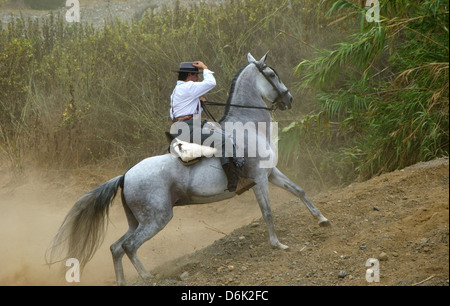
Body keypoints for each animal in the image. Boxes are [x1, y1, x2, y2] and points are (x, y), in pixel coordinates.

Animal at [47, 52, 330, 284]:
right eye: (271, 75)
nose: (289, 99)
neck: (248, 127)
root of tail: (125, 175)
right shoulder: (260, 178)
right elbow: (267, 212)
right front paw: (277, 244)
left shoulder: (272, 174)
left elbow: (299, 191)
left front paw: (322, 219)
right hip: (157, 218)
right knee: (128, 246)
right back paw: (146, 277)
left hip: (137, 220)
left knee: (117, 247)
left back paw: (129, 279)